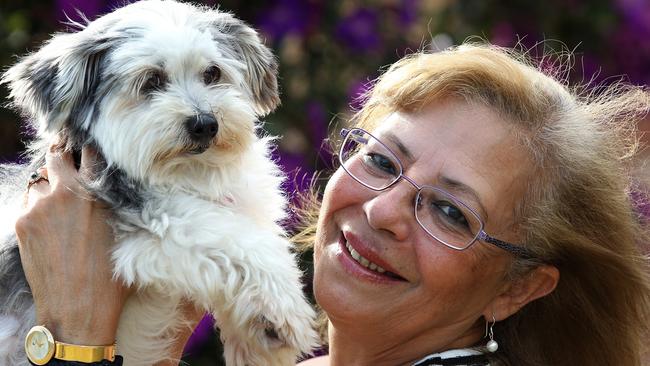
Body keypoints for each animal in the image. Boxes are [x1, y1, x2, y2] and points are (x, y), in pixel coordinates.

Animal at [0, 1, 318, 364]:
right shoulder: (147, 220)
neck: (189, 173)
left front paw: (258, 340)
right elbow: (235, 239)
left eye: (212, 73)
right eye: (151, 80)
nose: (205, 124)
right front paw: (282, 309)